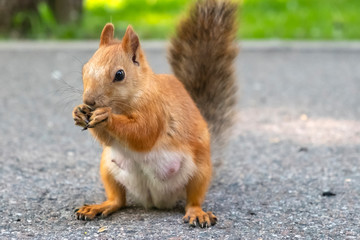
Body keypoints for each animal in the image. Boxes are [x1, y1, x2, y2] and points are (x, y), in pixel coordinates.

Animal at [71, 0, 238, 228]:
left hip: (200, 170)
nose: (89, 101)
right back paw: (99, 207)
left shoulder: (157, 110)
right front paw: (79, 112)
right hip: (107, 167)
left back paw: (197, 213)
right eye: (84, 69)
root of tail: (155, 200)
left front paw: (106, 117)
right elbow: (108, 139)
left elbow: (143, 133)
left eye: (119, 74)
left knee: (193, 199)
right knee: (118, 200)